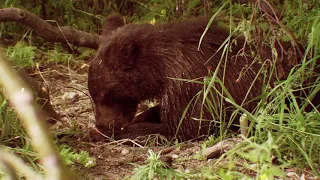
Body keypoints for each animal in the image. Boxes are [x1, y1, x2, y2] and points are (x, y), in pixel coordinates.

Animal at [87, 14, 300, 141]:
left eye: (104, 95)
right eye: (94, 94)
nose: (100, 124)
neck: (158, 69)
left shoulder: (191, 83)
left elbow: (183, 126)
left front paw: (109, 132)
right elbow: (160, 111)